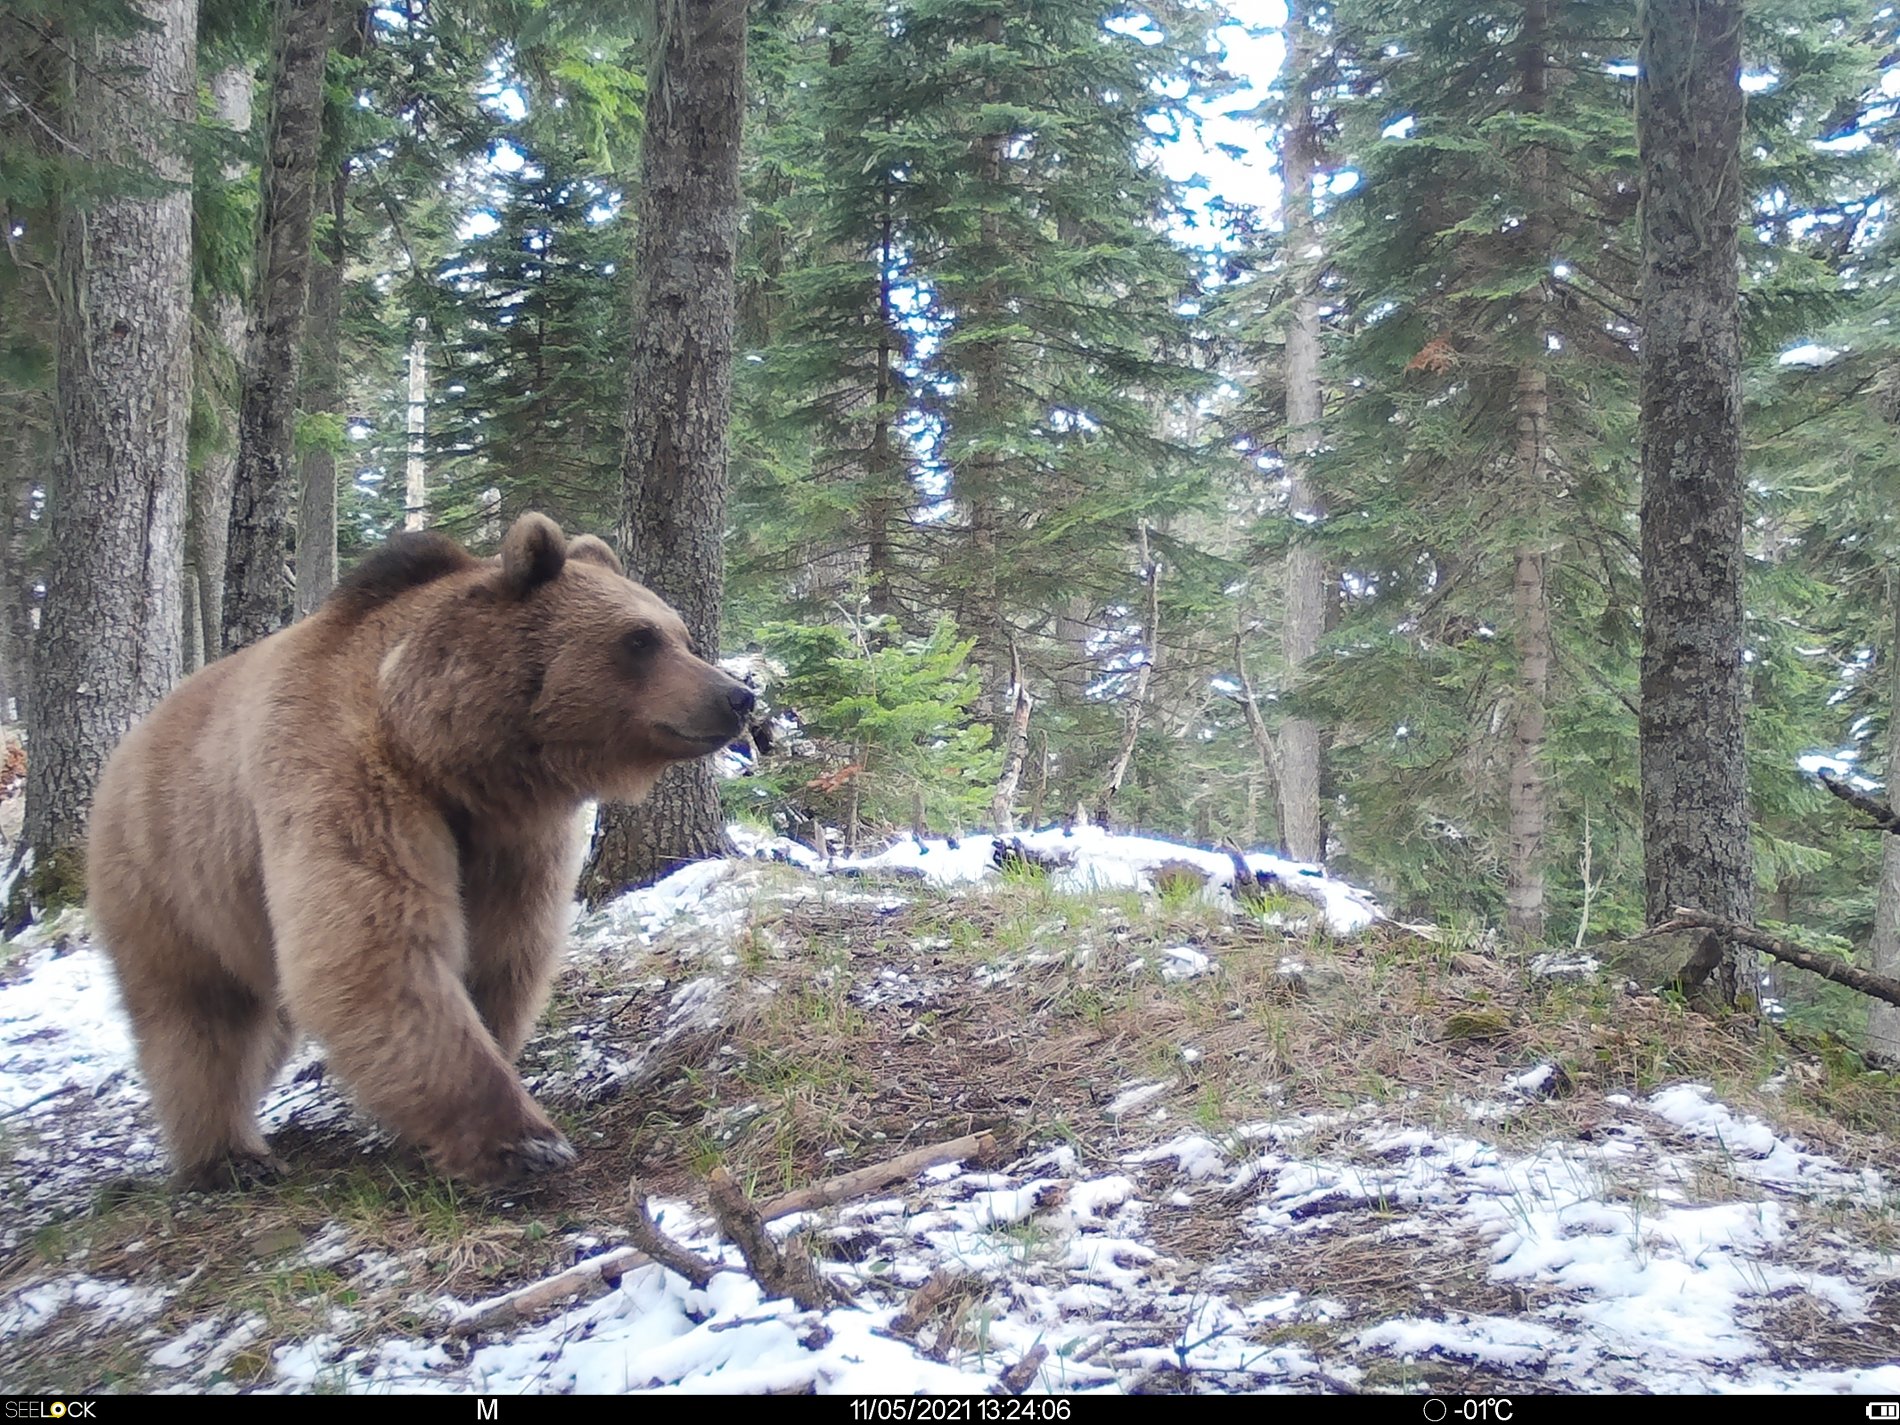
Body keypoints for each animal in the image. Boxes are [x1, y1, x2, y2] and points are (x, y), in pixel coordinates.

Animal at [87, 513, 756, 1193]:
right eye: (640, 638)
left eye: (680, 633)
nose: (737, 695)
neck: (442, 747)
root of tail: (129, 745)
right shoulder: (349, 780)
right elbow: (381, 949)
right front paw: (524, 1142)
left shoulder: (513, 836)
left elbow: (504, 950)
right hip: (165, 874)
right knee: (200, 1019)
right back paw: (228, 1156)